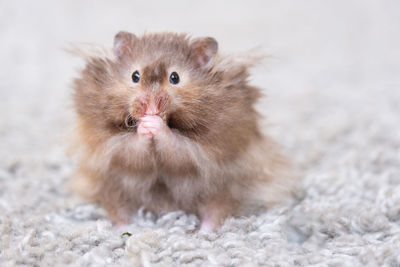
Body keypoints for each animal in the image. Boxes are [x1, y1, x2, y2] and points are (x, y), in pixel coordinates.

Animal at [70, 31, 296, 232]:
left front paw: (154, 122)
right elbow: (132, 149)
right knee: (119, 210)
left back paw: (204, 233)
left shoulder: (206, 150)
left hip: (222, 189)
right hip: (112, 187)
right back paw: (126, 230)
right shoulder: (111, 149)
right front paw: (146, 123)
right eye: (135, 76)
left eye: (175, 77)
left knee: (216, 211)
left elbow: (177, 147)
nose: (150, 106)